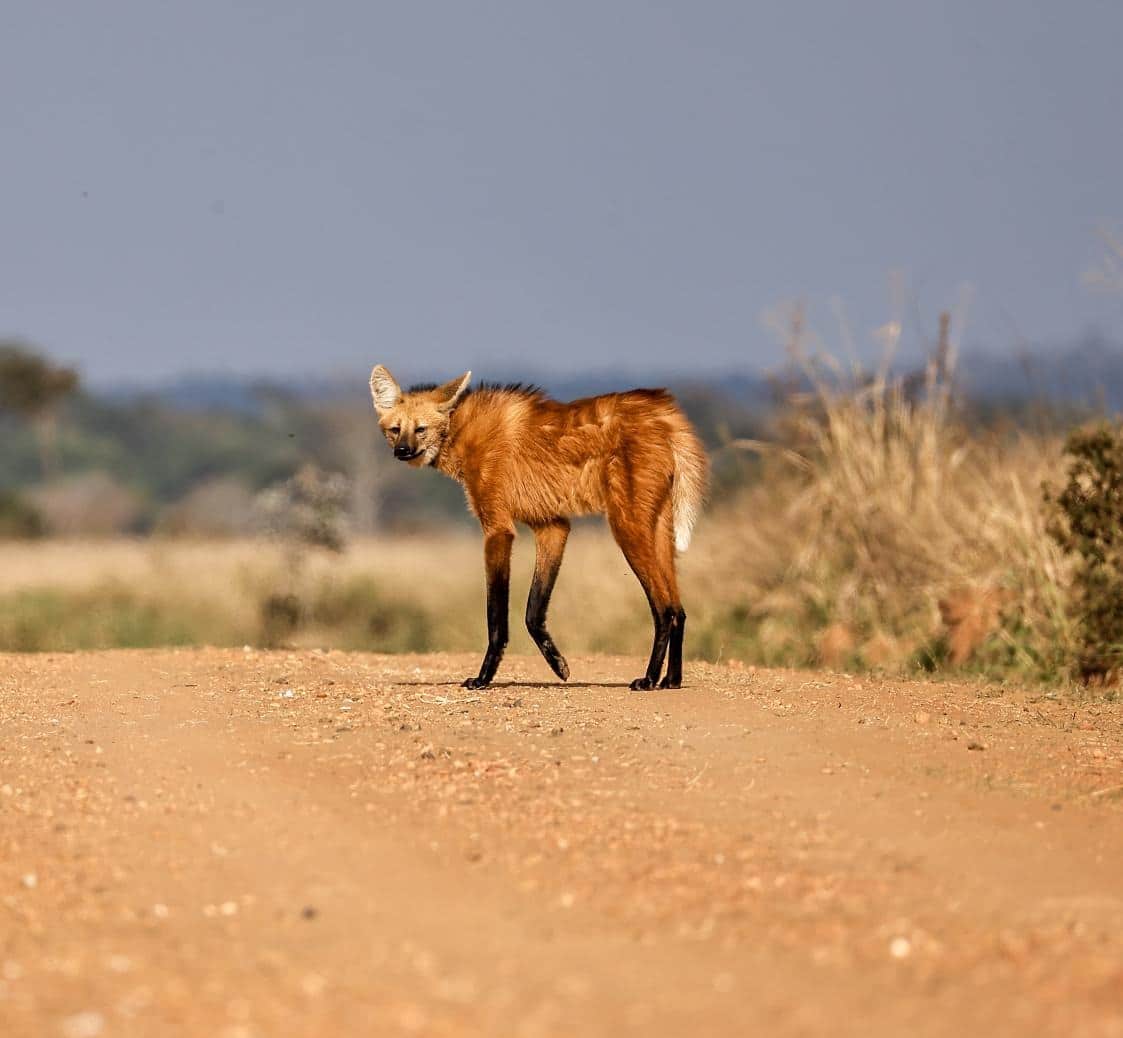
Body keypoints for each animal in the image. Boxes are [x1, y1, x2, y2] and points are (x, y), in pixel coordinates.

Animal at [369, 366, 708, 690]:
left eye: (420, 429)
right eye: (395, 430)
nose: (402, 451)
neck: (460, 429)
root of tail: (665, 412)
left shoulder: (498, 529)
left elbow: (496, 615)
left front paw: (483, 679)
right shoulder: (552, 525)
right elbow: (534, 611)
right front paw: (559, 665)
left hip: (627, 527)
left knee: (664, 609)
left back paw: (649, 680)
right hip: (658, 528)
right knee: (679, 610)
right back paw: (672, 680)